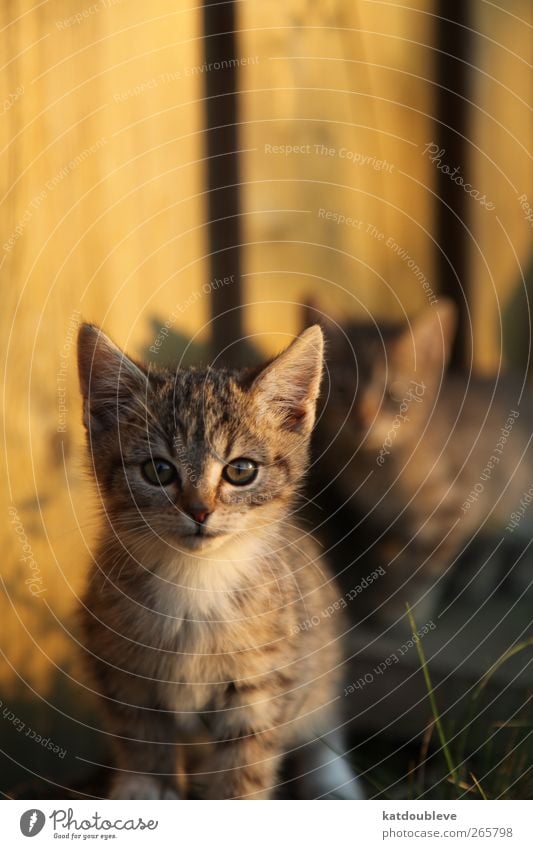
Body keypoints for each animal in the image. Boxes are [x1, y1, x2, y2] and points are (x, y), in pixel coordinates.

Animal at [77, 322, 360, 800]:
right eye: (158, 471)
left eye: (240, 471)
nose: (199, 511)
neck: (194, 582)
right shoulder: (124, 677)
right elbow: (142, 749)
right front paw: (142, 791)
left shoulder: (261, 687)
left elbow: (241, 774)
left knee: (322, 731)